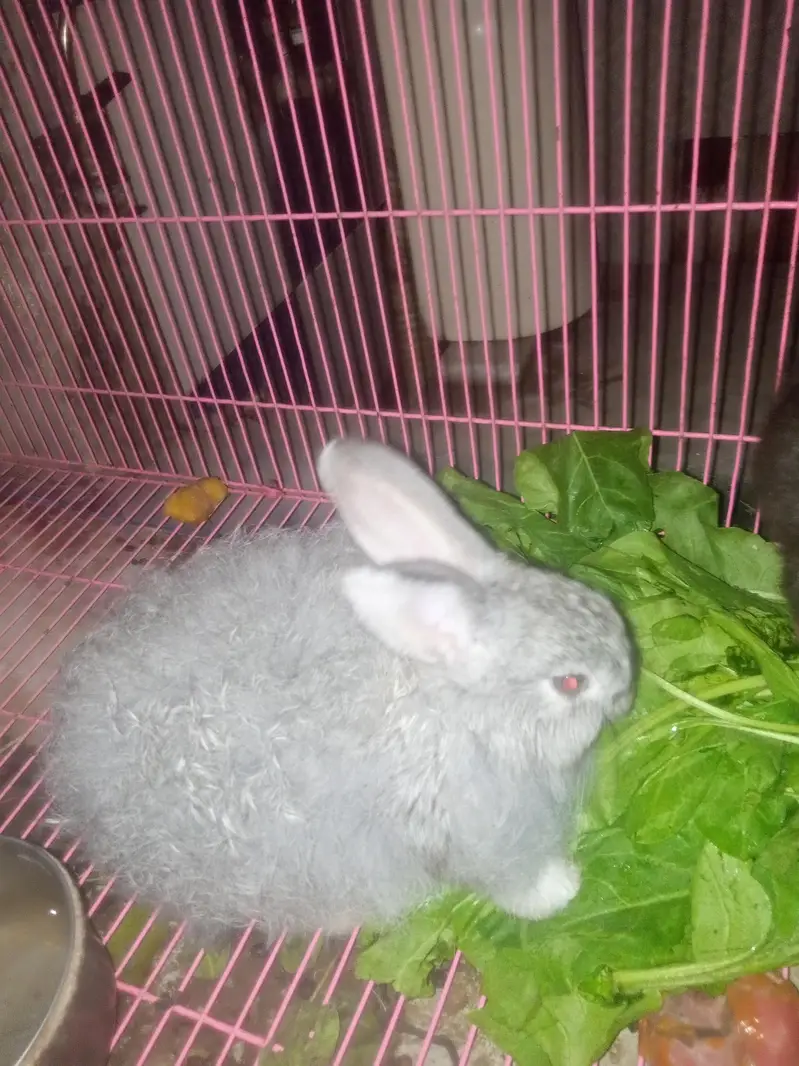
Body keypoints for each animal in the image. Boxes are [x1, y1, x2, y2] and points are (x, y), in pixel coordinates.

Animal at [45, 437, 635, 939]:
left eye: (605, 608)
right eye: (570, 683)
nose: (627, 693)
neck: (468, 711)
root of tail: (75, 768)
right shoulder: (465, 830)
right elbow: (509, 878)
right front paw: (561, 890)